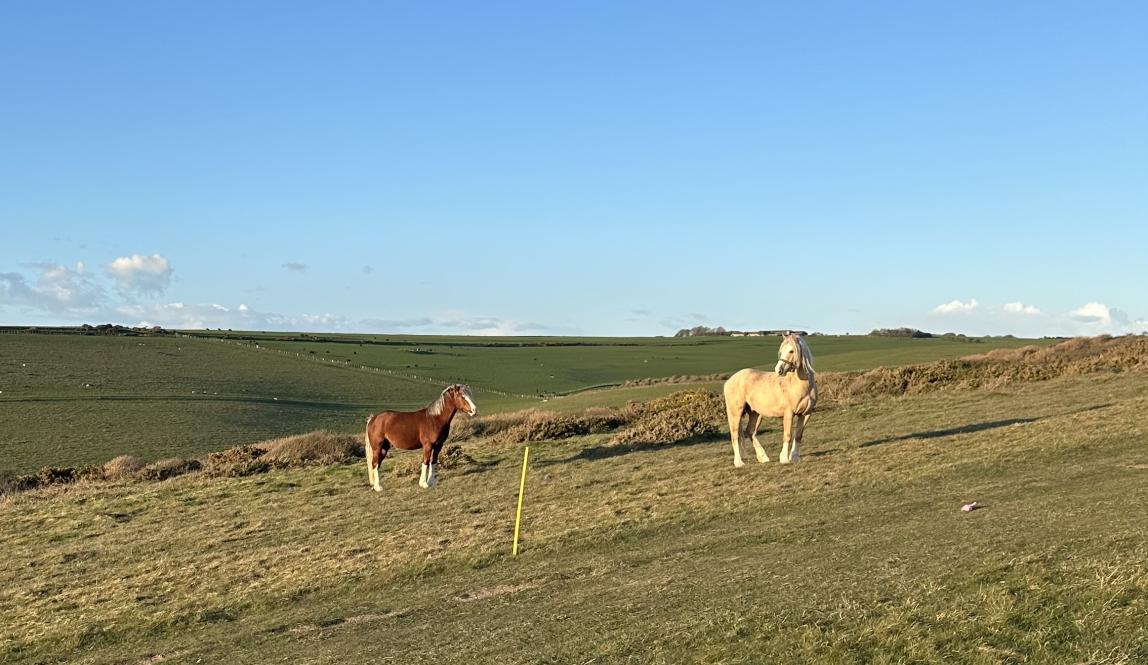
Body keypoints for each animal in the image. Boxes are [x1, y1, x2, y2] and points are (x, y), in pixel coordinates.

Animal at [723, 333, 817, 467]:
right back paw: (739, 462)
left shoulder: (806, 414)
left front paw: (794, 458)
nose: (779, 370)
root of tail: (729, 380)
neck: (801, 385)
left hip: (755, 413)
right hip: (735, 413)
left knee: (750, 432)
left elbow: (798, 436)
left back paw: (763, 458)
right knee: (735, 435)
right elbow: (787, 435)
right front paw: (784, 458)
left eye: (791, 351)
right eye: (781, 351)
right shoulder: (789, 413)